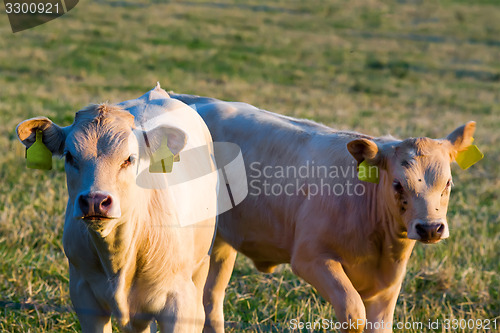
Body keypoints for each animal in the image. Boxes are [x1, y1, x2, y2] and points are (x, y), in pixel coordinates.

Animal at [172, 92, 476, 332]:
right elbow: (353, 312)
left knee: (211, 300)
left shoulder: (387, 285)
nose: (430, 228)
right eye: (398, 184)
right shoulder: (310, 258)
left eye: (448, 183)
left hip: (222, 245)